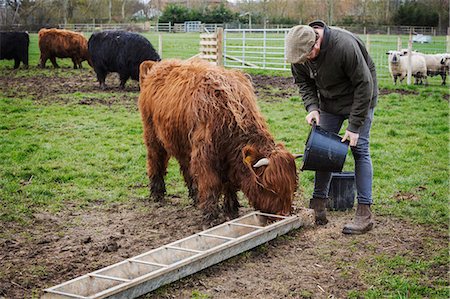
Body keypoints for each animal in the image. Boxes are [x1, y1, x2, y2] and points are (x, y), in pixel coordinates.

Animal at [137, 59, 298, 226]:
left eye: (293, 186)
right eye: (269, 187)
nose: (283, 215)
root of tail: (157, 65)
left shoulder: (228, 159)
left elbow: (229, 184)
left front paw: (231, 209)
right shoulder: (204, 157)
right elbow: (210, 184)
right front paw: (210, 215)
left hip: (182, 143)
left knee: (186, 167)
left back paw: (195, 197)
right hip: (152, 135)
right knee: (155, 160)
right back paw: (157, 194)